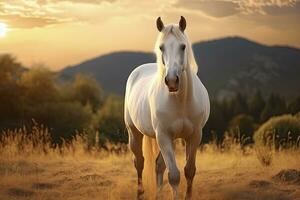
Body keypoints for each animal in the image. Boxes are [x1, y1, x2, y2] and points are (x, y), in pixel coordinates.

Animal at [123, 16, 210, 199]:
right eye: (161, 47)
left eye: (183, 46)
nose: (171, 81)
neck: (181, 102)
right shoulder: (163, 136)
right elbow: (174, 175)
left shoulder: (194, 136)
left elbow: (189, 171)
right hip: (135, 133)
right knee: (139, 162)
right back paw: (140, 193)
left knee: (158, 165)